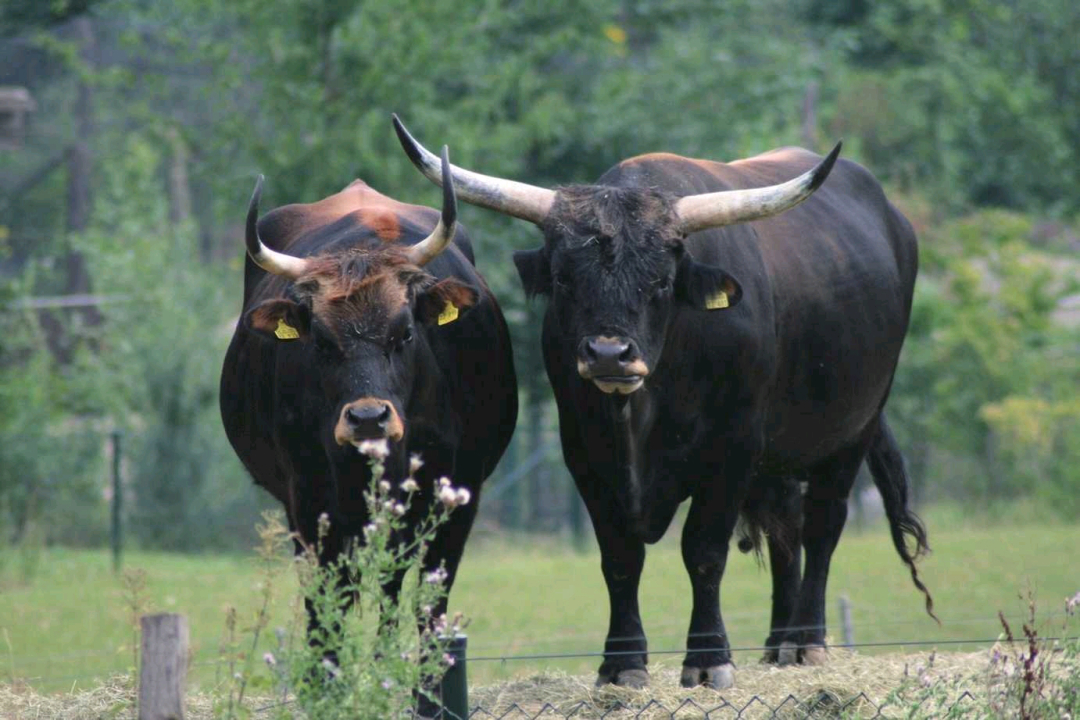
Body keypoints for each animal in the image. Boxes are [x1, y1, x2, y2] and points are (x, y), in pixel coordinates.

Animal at [393, 118, 933, 690]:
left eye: (661, 282)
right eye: (564, 278)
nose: (609, 354)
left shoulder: (732, 449)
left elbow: (704, 551)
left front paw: (709, 658)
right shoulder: (585, 453)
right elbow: (619, 557)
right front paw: (622, 662)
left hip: (853, 429)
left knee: (823, 526)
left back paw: (807, 642)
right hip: (781, 456)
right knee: (786, 530)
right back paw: (777, 646)